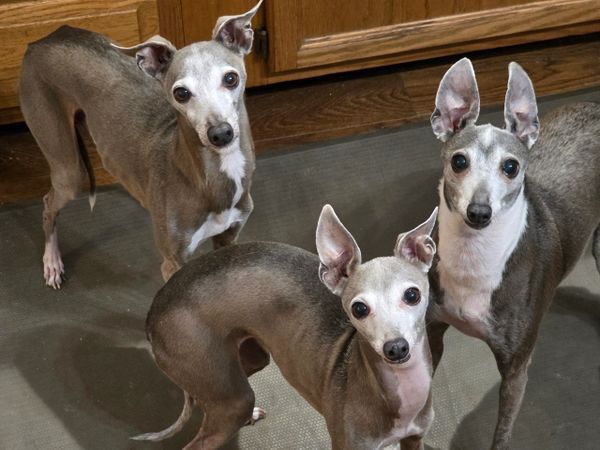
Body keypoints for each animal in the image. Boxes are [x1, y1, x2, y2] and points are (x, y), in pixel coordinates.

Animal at [19, 1, 263, 288]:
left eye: (230, 78)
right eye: (181, 93)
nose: (220, 134)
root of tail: (43, 39)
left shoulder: (228, 238)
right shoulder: (173, 262)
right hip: (65, 164)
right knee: (48, 203)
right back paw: (52, 262)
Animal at [133, 205, 438, 449]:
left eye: (412, 295)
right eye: (359, 309)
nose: (396, 349)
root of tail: (154, 310)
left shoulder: (415, 440)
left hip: (243, 364)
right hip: (226, 392)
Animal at [427, 58, 600, 448]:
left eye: (511, 167)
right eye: (459, 162)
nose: (479, 212)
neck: (474, 257)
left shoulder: (516, 369)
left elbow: (502, 433)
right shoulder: (432, 332)